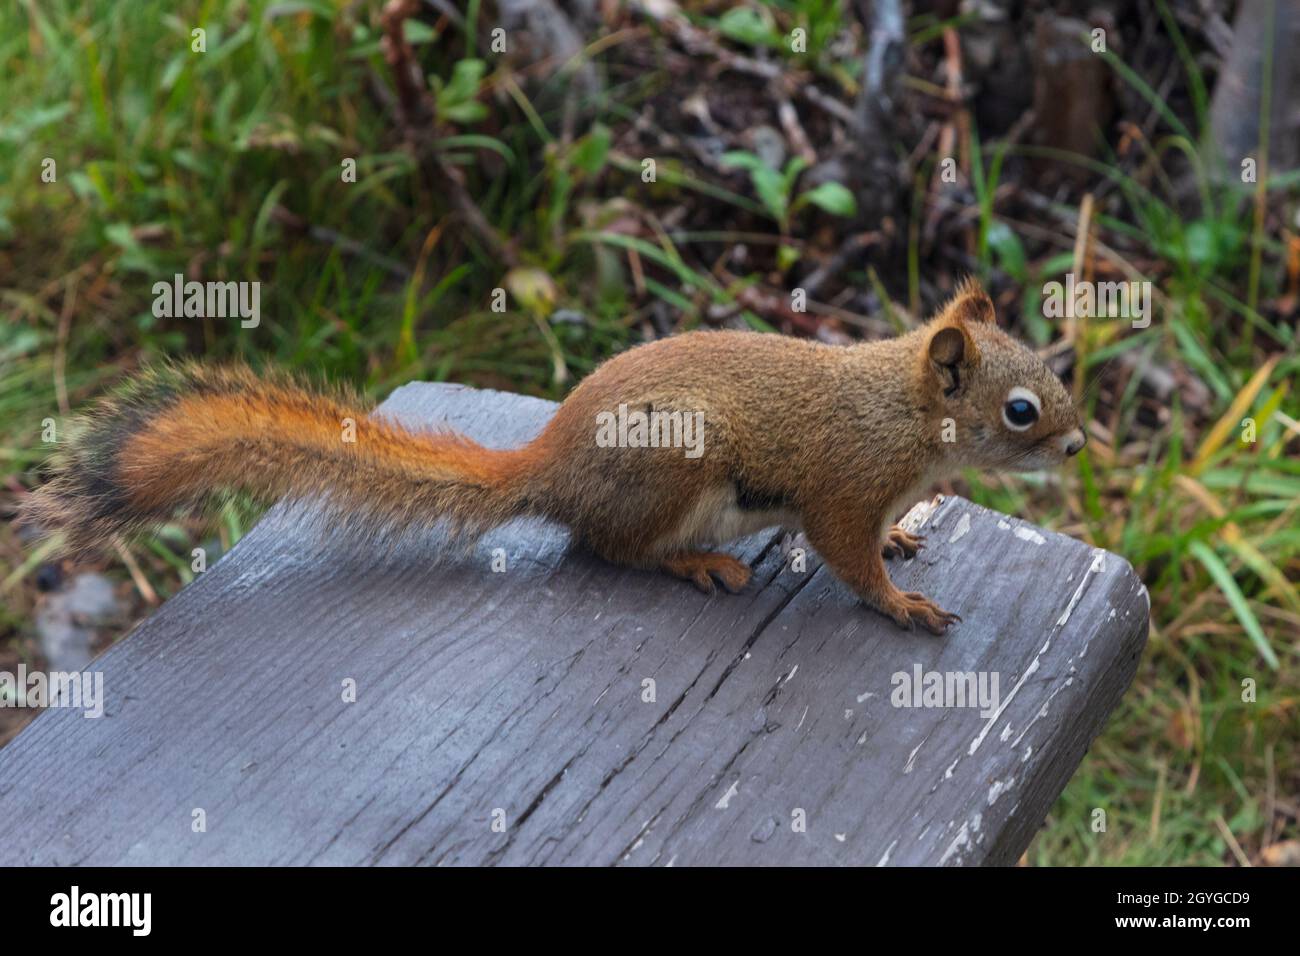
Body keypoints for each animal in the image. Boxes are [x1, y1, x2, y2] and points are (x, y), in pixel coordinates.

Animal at [20, 278, 1081, 634]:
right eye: (1021, 409)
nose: (1075, 444)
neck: (904, 411)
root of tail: (548, 466)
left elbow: (878, 539)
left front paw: (905, 540)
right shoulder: (840, 486)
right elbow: (848, 558)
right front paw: (902, 605)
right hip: (675, 469)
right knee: (610, 547)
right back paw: (699, 562)